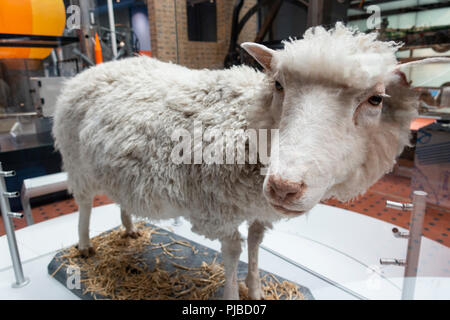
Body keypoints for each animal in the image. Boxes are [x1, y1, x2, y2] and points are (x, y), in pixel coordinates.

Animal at [51, 24, 436, 300]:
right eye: (278, 85)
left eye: (376, 100)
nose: (283, 187)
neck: (247, 123)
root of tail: (92, 71)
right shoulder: (217, 210)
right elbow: (234, 251)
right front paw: (233, 294)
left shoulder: (258, 209)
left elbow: (254, 244)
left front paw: (255, 288)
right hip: (76, 162)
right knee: (84, 204)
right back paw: (84, 246)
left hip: (116, 168)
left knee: (121, 197)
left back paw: (130, 228)